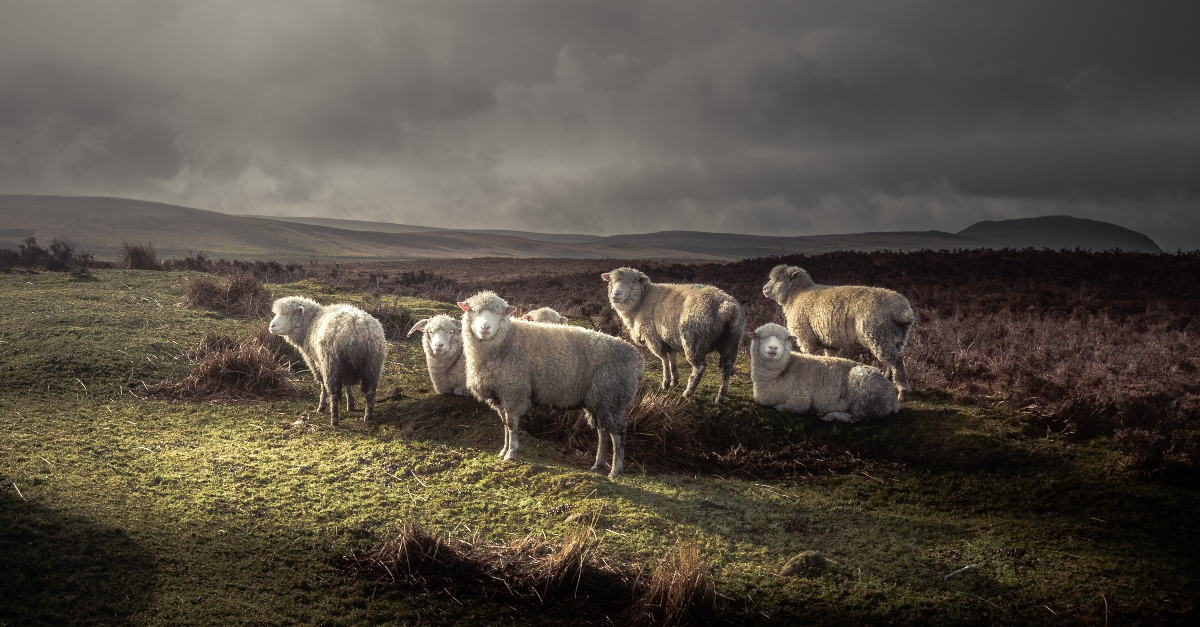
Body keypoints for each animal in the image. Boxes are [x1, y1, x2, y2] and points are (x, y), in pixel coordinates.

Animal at [270, 294, 386, 425]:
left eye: (288, 314)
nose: (271, 326)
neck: (310, 323)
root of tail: (357, 329)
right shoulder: (345, 370)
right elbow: (347, 385)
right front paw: (351, 404)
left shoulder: (316, 363)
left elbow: (323, 385)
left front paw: (321, 406)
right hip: (372, 366)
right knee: (370, 392)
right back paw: (368, 416)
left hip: (331, 364)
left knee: (333, 393)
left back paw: (334, 419)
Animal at [458, 290, 648, 475]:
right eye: (472, 310)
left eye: (500, 313)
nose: (485, 328)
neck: (506, 340)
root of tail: (637, 359)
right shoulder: (498, 394)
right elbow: (505, 424)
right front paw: (503, 450)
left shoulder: (514, 391)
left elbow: (511, 424)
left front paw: (511, 453)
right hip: (599, 400)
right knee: (603, 432)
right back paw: (598, 465)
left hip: (612, 396)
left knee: (618, 433)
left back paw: (615, 470)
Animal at [604, 265, 744, 403]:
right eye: (611, 281)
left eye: (633, 281)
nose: (615, 294)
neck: (642, 300)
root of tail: (727, 308)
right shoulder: (669, 338)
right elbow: (672, 359)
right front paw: (675, 380)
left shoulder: (654, 338)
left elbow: (664, 360)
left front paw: (666, 383)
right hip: (731, 341)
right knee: (727, 367)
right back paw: (720, 396)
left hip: (694, 340)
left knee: (700, 367)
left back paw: (688, 392)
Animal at [744, 321, 897, 420]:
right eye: (761, 337)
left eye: (784, 339)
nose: (773, 348)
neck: (781, 372)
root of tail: (894, 398)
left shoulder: (800, 399)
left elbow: (785, 407)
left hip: (864, 393)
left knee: (859, 417)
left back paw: (831, 415)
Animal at [763, 263, 912, 401]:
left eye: (778, 279)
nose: (764, 289)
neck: (797, 296)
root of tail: (903, 312)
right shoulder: (829, 342)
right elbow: (829, 357)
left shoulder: (806, 337)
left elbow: (809, 355)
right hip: (896, 337)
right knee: (893, 359)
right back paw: (888, 379)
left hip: (878, 335)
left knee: (896, 360)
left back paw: (902, 392)